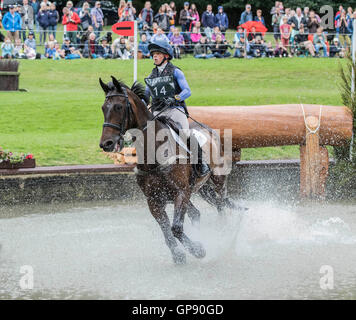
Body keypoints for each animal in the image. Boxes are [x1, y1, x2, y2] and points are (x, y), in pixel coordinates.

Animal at [98, 76, 235, 264]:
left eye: (119, 107)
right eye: (103, 108)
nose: (106, 143)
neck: (154, 153)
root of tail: (209, 130)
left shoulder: (181, 192)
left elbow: (176, 228)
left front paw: (198, 250)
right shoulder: (154, 200)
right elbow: (167, 230)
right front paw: (178, 255)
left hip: (217, 180)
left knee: (221, 204)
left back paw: (223, 234)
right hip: (200, 189)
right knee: (198, 212)